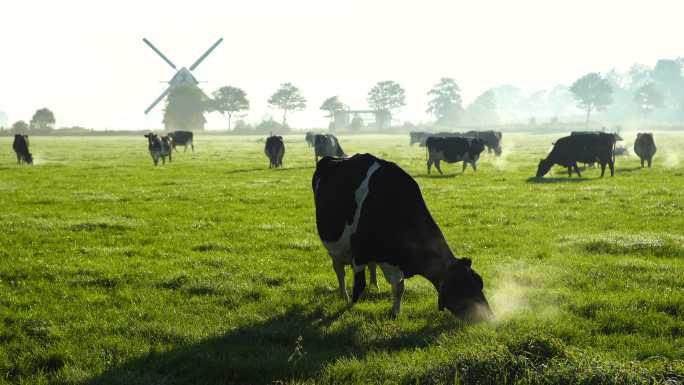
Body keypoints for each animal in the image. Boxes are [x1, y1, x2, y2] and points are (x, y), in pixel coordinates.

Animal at [312, 153, 494, 318]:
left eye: (479, 282)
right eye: (463, 288)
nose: (489, 316)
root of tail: (331, 158)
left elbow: (400, 288)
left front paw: (396, 312)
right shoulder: (359, 252)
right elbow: (359, 284)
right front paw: (350, 306)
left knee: (370, 267)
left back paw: (375, 285)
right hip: (335, 247)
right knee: (339, 271)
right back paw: (344, 295)